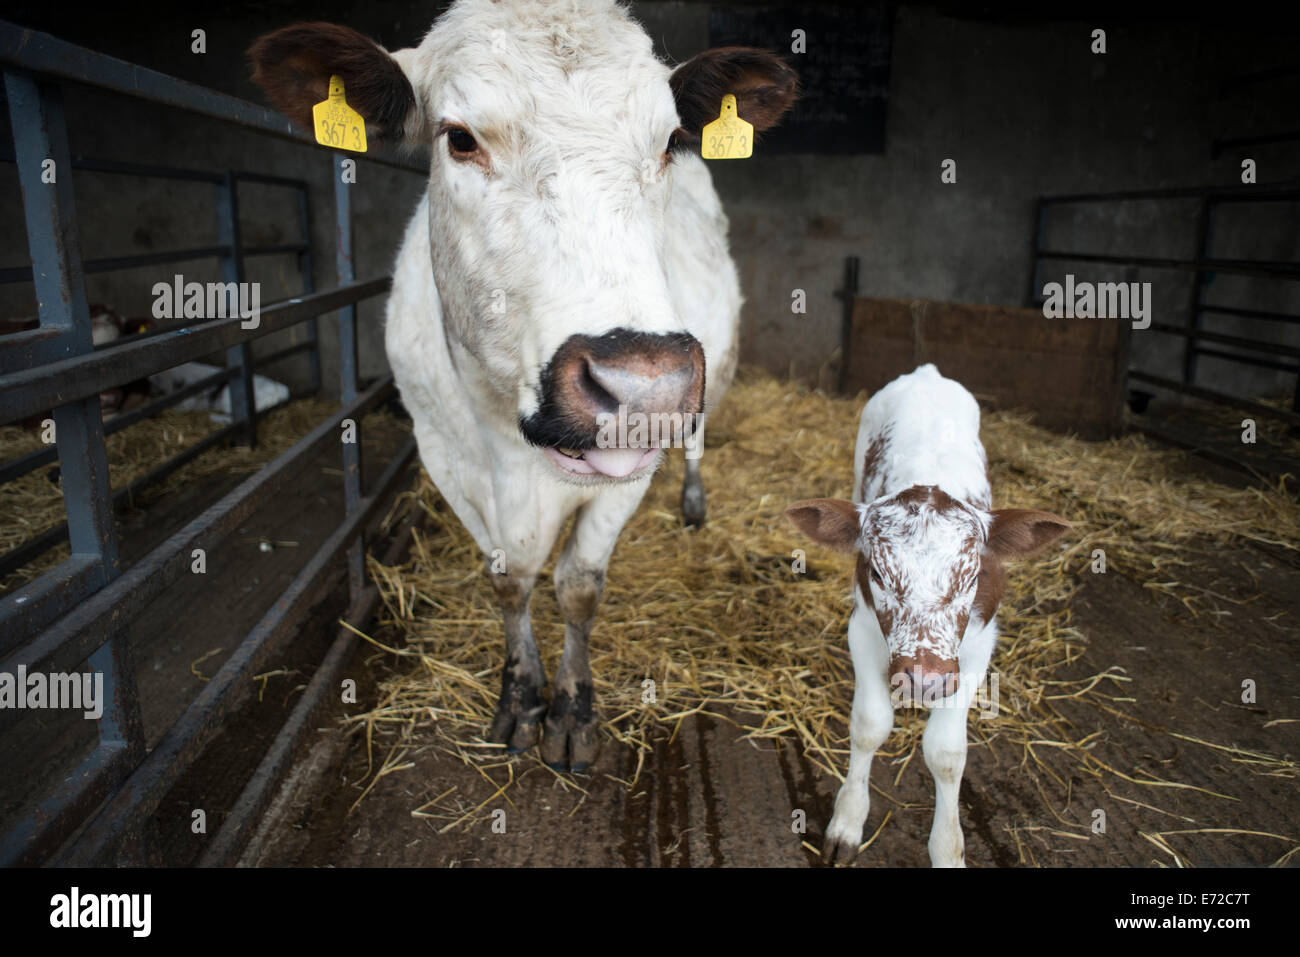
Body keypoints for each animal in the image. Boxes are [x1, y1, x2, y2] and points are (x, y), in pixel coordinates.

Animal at [249, 0, 797, 770]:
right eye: (460, 138)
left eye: (667, 142)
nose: (645, 384)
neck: (511, 438)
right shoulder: (444, 455)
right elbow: (509, 582)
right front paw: (520, 697)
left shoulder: (625, 475)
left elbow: (577, 587)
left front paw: (572, 708)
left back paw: (692, 501)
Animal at [786, 364, 1069, 866]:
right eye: (877, 572)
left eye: (972, 574)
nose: (924, 680)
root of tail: (926, 372)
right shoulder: (862, 627)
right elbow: (869, 726)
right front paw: (848, 820)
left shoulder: (978, 645)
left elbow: (946, 753)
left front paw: (947, 848)